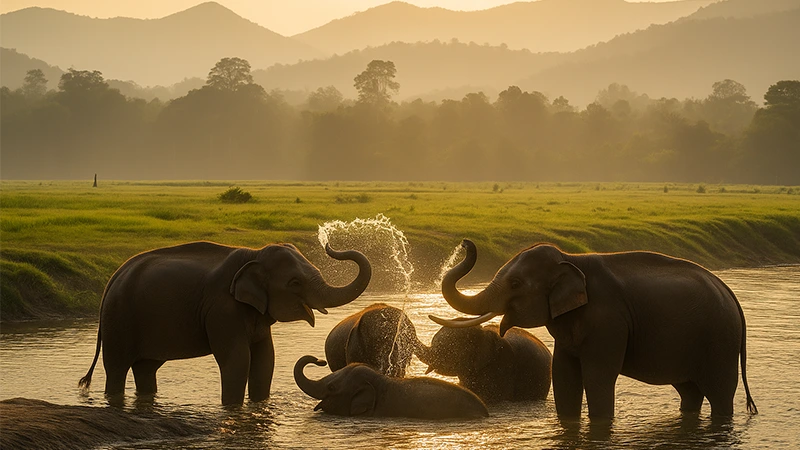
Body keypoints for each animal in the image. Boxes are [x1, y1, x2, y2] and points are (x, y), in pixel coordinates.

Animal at [78, 241, 371, 406]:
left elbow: (265, 358)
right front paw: (231, 409)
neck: (253, 254)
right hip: (118, 318)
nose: (329, 246)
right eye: (295, 283)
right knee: (117, 367)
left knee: (146, 367)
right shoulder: (222, 310)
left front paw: (258, 407)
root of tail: (113, 278)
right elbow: (238, 359)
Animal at [431, 239, 757, 419]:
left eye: (515, 284)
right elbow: (564, 374)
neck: (571, 259)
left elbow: (598, 376)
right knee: (689, 390)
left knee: (720, 393)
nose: (465, 243)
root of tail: (730, 295)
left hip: (720, 341)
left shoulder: (609, 321)